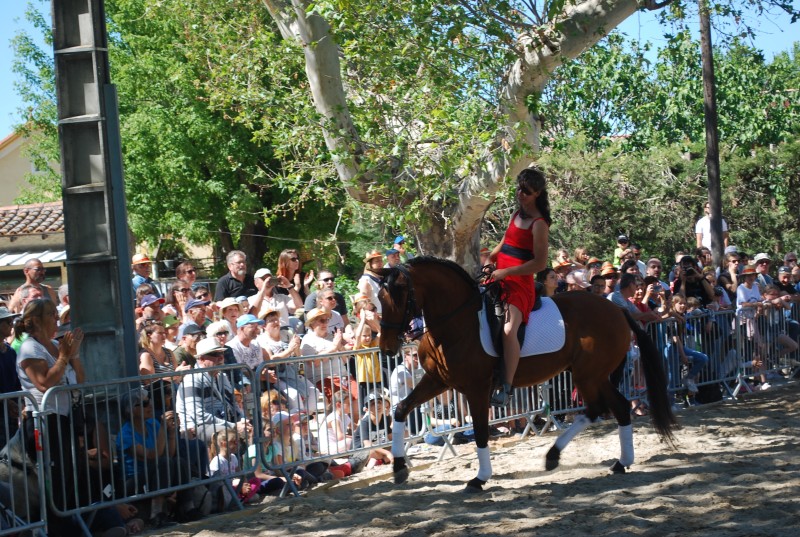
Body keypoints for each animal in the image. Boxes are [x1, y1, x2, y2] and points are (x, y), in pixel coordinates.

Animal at [378, 258, 680, 492]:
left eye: (401, 294)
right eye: (380, 298)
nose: (387, 347)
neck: (456, 324)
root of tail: (616, 308)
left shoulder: (477, 388)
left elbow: (480, 432)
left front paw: (480, 478)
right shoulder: (438, 380)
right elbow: (401, 409)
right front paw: (399, 467)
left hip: (589, 375)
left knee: (600, 408)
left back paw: (558, 456)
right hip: (593, 374)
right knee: (615, 407)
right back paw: (617, 462)